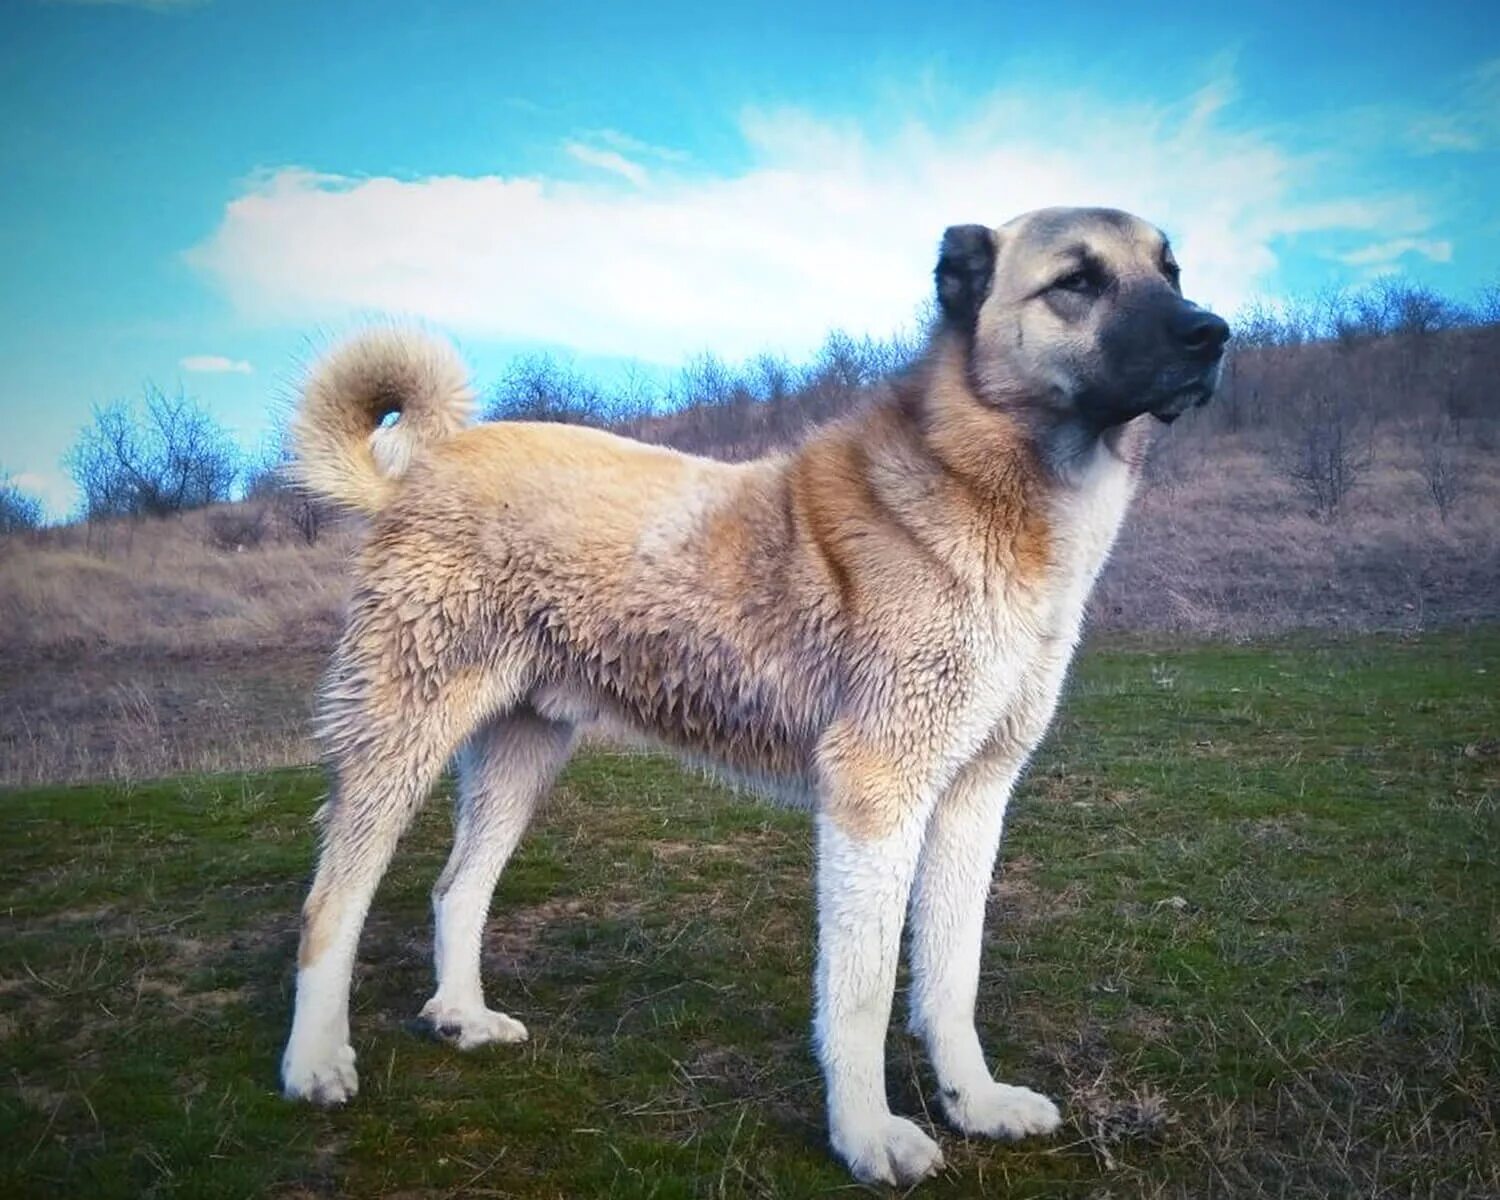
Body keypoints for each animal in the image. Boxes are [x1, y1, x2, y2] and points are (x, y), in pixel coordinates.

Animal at [276, 204, 1224, 1182]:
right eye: (1076, 280)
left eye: (1171, 270)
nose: (1213, 333)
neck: (985, 486)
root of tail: (422, 464)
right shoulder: (875, 794)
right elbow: (862, 992)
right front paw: (866, 1135)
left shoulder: (973, 797)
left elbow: (950, 976)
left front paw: (976, 1102)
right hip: (400, 736)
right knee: (329, 907)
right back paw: (315, 1063)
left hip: (520, 756)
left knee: (457, 888)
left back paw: (462, 1019)